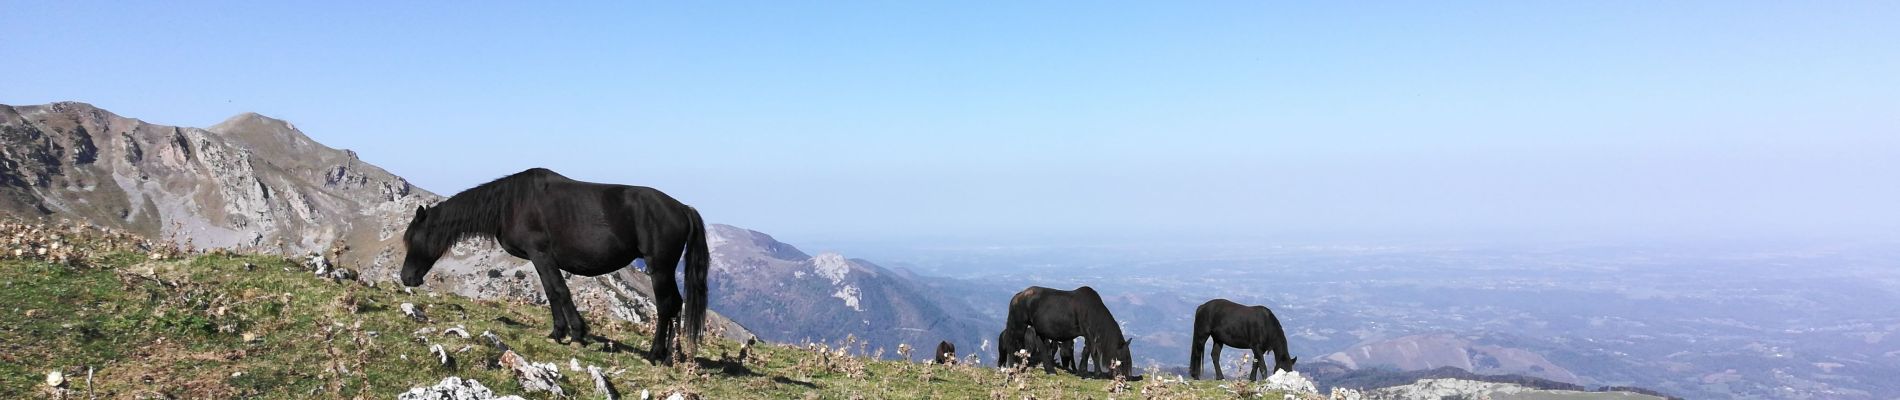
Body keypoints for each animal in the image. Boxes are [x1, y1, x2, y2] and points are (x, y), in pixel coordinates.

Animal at [397, 166, 710, 363]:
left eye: (415, 239)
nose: (407, 278)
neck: (511, 204)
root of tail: (683, 208)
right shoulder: (540, 258)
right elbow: (551, 292)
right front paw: (559, 332)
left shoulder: (541, 254)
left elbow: (559, 290)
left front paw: (577, 333)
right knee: (676, 304)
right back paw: (673, 355)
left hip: (660, 268)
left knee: (666, 305)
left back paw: (656, 354)